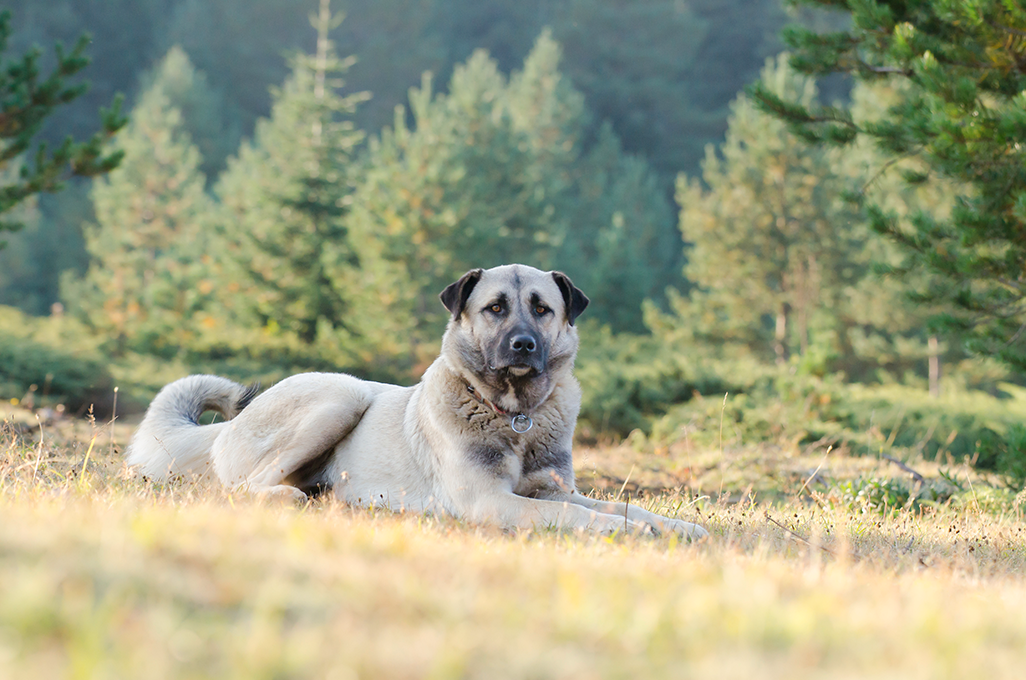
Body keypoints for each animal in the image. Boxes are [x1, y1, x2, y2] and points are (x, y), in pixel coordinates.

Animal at [126, 262, 705, 541]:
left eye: (542, 309)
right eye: (496, 308)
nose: (523, 345)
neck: (514, 413)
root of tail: (227, 427)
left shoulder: (554, 490)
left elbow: (620, 504)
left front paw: (677, 527)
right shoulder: (490, 502)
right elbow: (580, 517)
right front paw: (629, 532)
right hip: (341, 397)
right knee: (242, 489)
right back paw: (295, 497)